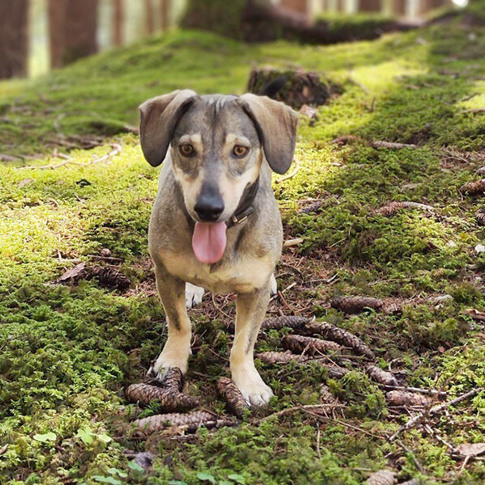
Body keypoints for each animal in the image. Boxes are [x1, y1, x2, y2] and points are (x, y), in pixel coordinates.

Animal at [139, 90, 298, 404]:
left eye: (240, 150)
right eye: (187, 148)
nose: (208, 209)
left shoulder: (254, 292)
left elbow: (244, 342)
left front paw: (248, 382)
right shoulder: (165, 273)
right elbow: (179, 323)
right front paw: (172, 361)